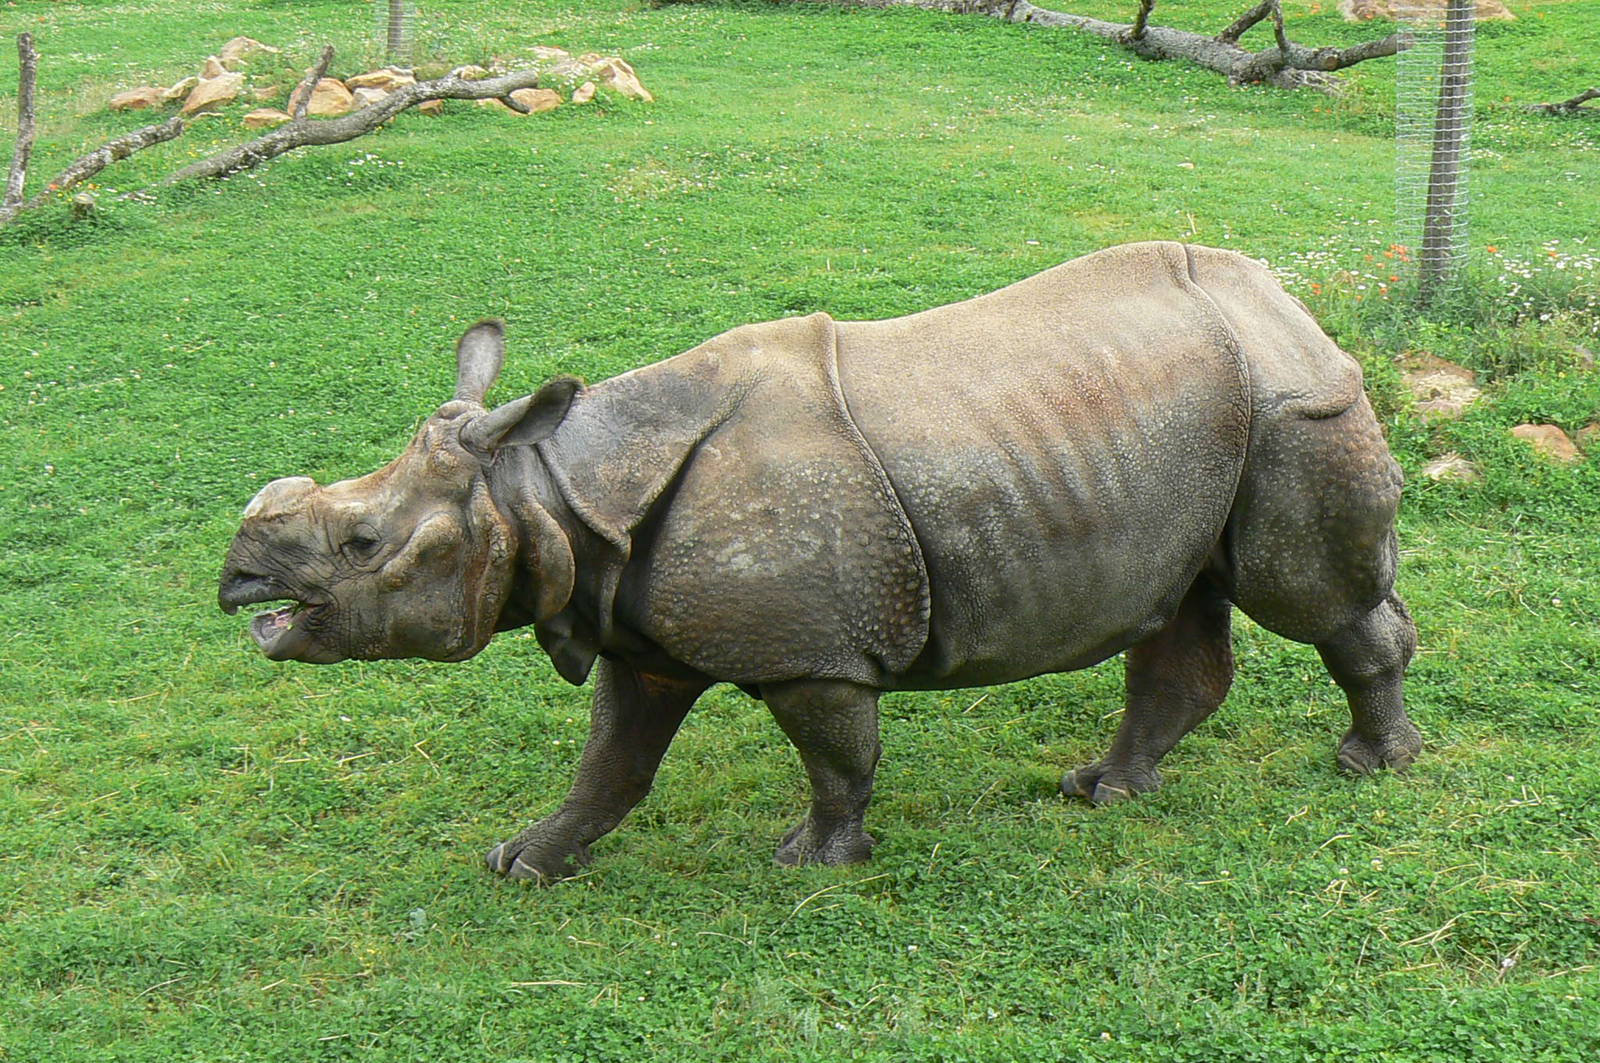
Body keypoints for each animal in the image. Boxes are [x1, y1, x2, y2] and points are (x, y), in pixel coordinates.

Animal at [219, 242, 1421, 881]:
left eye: (364, 545)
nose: (239, 582)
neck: (550, 491)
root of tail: (1284, 297)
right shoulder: (637, 629)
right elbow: (612, 762)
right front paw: (526, 862)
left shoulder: (814, 654)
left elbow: (837, 757)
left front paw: (813, 860)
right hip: (1197, 424)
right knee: (1180, 607)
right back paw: (1103, 792)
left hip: (1290, 408)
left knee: (1307, 599)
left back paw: (1373, 765)